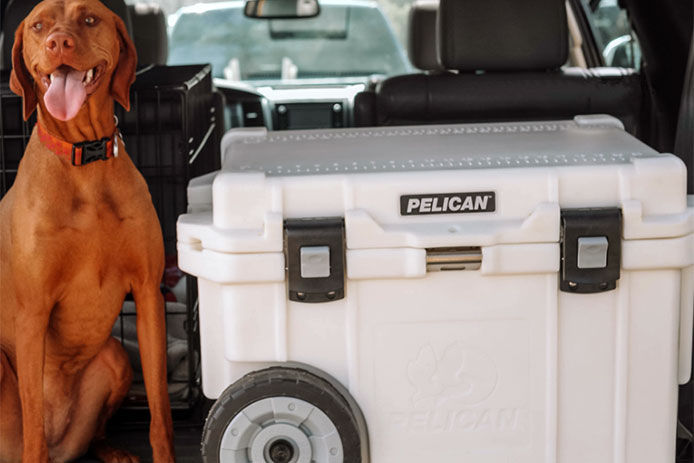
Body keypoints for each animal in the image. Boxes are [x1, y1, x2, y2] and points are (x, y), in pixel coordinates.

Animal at [0, 0, 174, 462]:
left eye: (90, 19)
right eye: (38, 25)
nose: (57, 42)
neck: (85, 161)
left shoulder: (148, 293)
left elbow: (160, 413)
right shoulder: (32, 311)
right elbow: (34, 435)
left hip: (116, 356)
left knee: (94, 432)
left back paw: (113, 450)